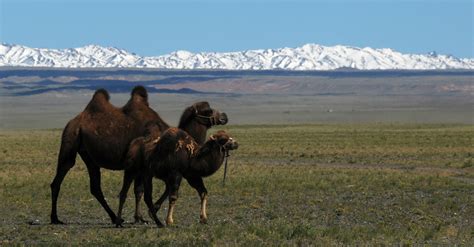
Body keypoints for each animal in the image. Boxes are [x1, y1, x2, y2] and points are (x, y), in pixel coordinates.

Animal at [49, 85, 228, 226]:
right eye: (208, 110)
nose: (224, 116)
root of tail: (75, 120)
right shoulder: (152, 165)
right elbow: (146, 189)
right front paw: (147, 214)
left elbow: (141, 190)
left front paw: (142, 216)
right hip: (70, 139)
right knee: (60, 176)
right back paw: (55, 218)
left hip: (88, 156)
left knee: (95, 187)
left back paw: (114, 217)